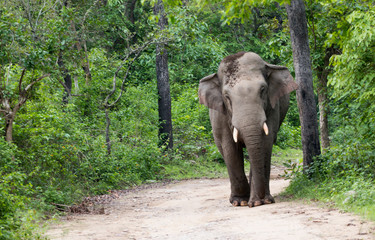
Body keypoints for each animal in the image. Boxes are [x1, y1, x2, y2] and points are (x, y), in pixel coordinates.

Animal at [198, 51, 298, 207]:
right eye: (226, 96)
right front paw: (240, 202)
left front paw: (261, 201)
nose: (262, 199)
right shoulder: (220, 114)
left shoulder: (272, 108)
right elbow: (230, 148)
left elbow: (265, 143)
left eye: (263, 90)